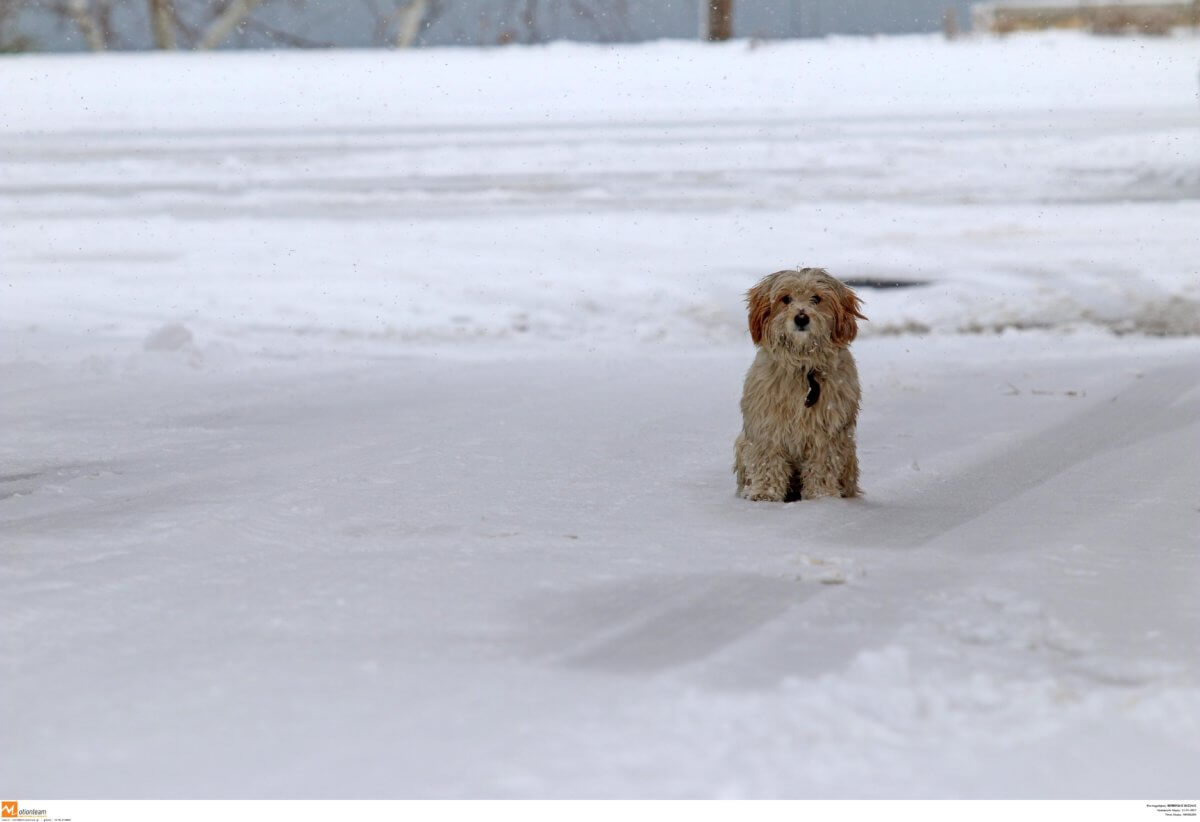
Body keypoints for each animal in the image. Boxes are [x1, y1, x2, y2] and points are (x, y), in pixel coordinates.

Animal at [734, 268, 868, 499]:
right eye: (785, 299)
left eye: (817, 298)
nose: (801, 317)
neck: (804, 367)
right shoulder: (767, 423)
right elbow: (768, 459)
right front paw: (765, 492)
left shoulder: (828, 430)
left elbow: (823, 464)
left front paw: (821, 496)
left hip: (849, 453)